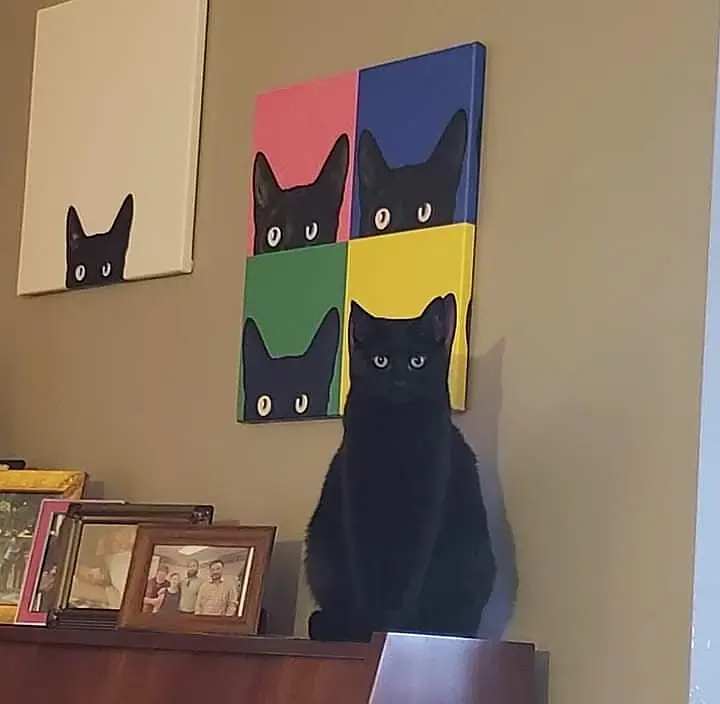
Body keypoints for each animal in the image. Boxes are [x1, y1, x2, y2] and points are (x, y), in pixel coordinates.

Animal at [305, 293, 496, 642]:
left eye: (417, 361)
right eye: (380, 360)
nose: (399, 378)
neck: (397, 433)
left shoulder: (425, 511)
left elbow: (409, 577)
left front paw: (394, 626)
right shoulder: (360, 507)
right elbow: (366, 573)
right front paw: (369, 628)